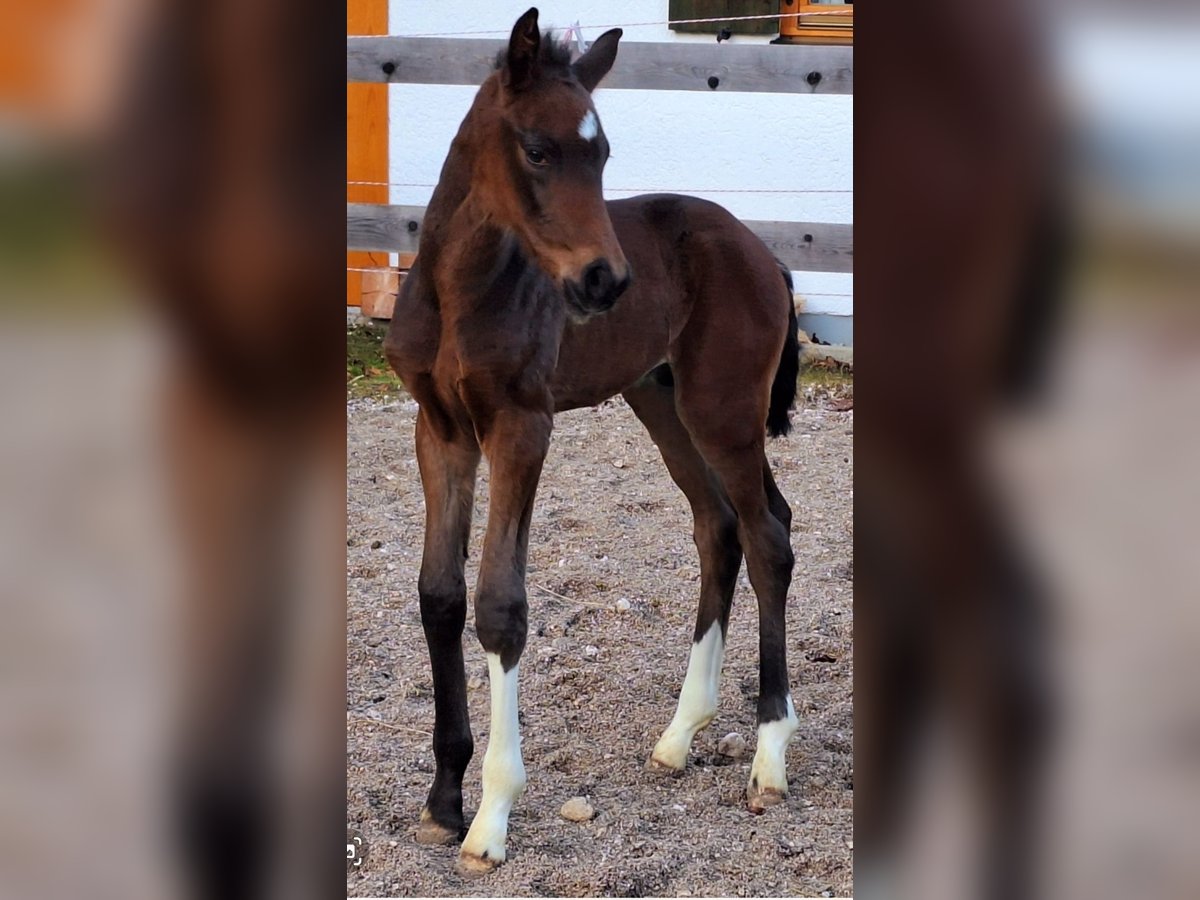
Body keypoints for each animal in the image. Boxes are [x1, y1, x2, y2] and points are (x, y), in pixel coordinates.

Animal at [384, 7, 796, 873]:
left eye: (602, 154)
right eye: (538, 150)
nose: (605, 281)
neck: (461, 290)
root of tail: (761, 249)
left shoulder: (521, 426)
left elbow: (500, 605)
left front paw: (491, 818)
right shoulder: (438, 429)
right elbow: (439, 595)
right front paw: (441, 803)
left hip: (722, 410)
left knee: (768, 536)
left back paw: (769, 755)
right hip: (661, 404)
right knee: (720, 528)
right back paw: (679, 736)